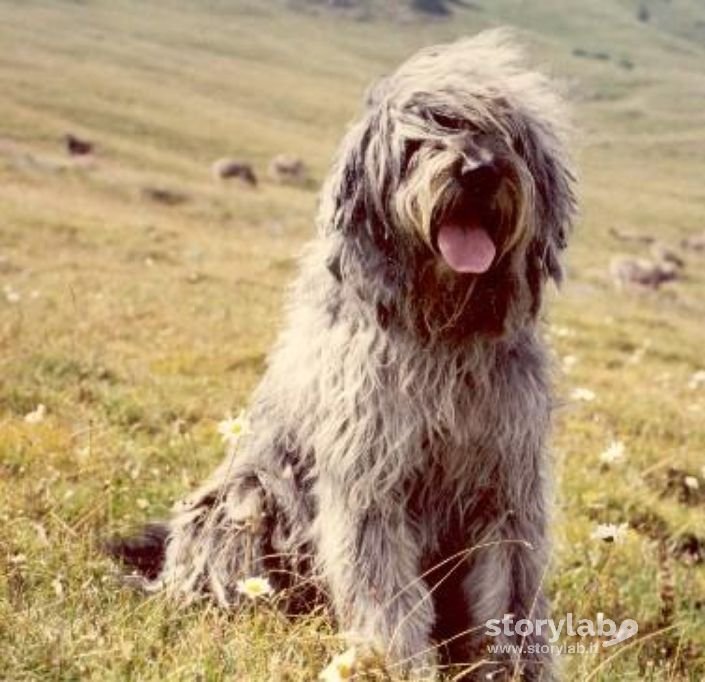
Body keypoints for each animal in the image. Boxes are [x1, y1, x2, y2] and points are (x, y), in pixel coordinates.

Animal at [110, 30, 572, 680]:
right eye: (424, 133)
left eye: (507, 134)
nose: (480, 170)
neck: (442, 330)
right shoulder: (371, 481)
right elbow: (388, 591)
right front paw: (402, 663)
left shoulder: (505, 488)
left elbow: (510, 594)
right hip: (244, 499)